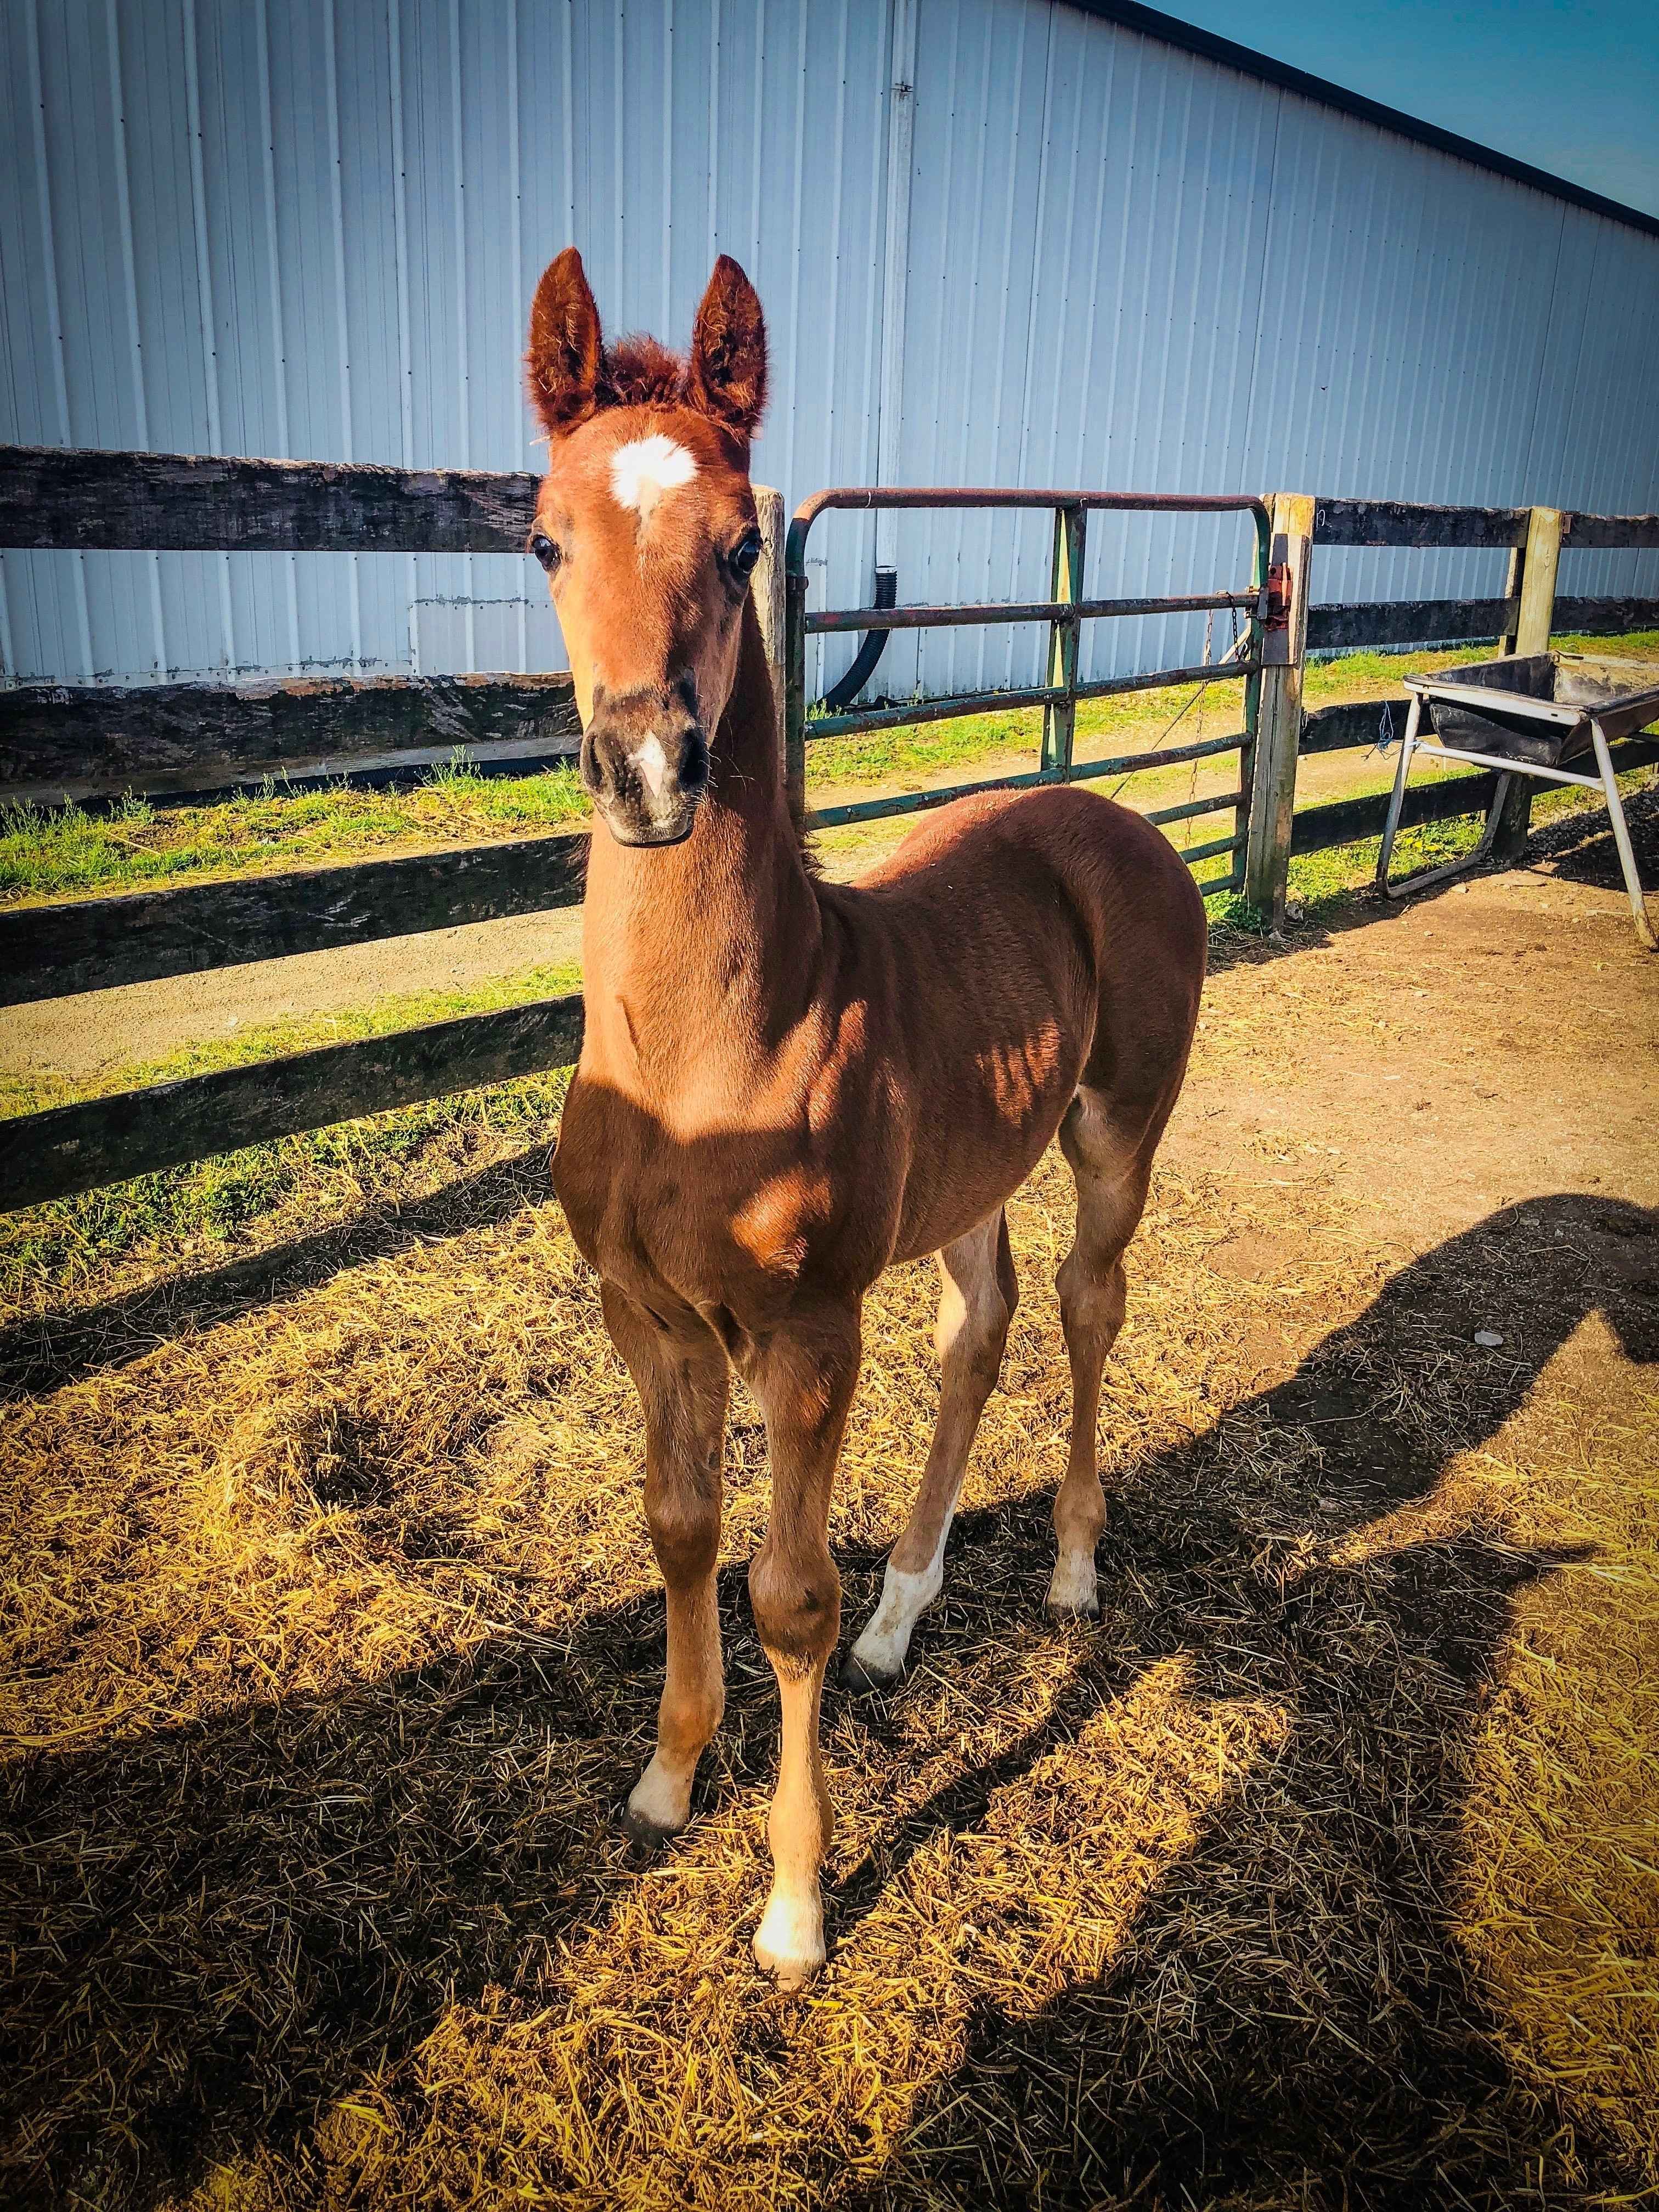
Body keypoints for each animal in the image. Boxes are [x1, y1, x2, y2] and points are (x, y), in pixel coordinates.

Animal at [526, 248, 1207, 1988]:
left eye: (746, 539)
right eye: (544, 536)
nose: (647, 768)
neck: (712, 1046)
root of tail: (1112, 818)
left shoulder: (810, 1332)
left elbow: (785, 1598)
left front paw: (792, 1906)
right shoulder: (649, 1318)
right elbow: (679, 1532)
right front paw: (666, 1779)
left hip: (1115, 1131)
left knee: (1090, 1305)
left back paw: (1073, 1566)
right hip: (970, 1171)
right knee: (984, 1322)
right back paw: (910, 1611)